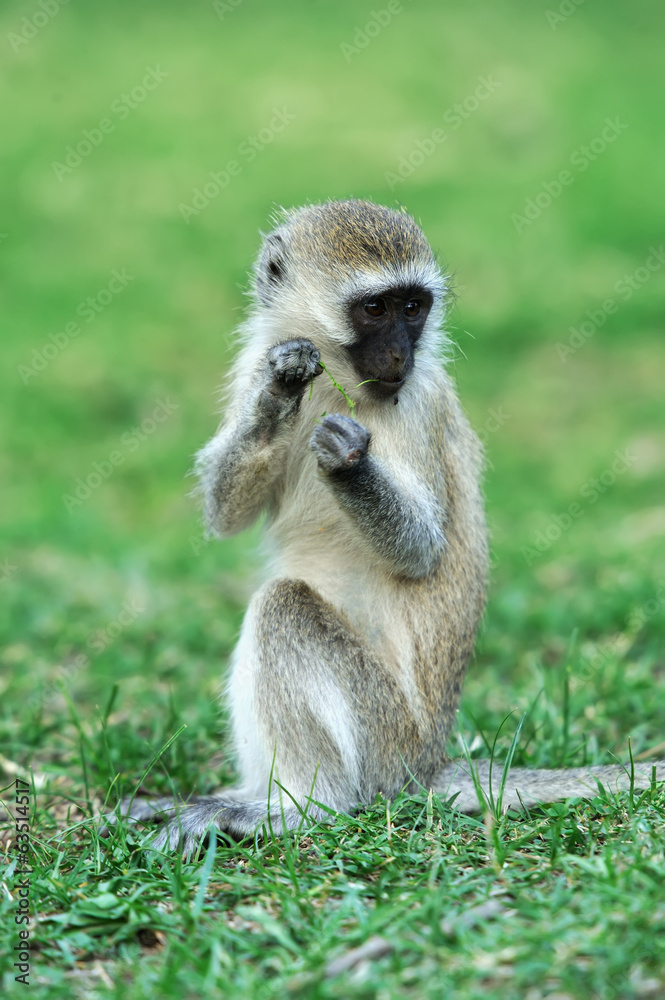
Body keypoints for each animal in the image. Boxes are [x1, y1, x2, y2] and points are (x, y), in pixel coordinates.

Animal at [116, 200, 664, 854]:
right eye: (376, 309)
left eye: (413, 307)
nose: (401, 356)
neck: (341, 381)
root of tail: (425, 765)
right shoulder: (257, 360)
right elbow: (228, 513)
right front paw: (281, 388)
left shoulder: (419, 401)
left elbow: (422, 549)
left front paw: (348, 460)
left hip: (383, 736)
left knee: (284, 609)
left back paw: (296, 809)